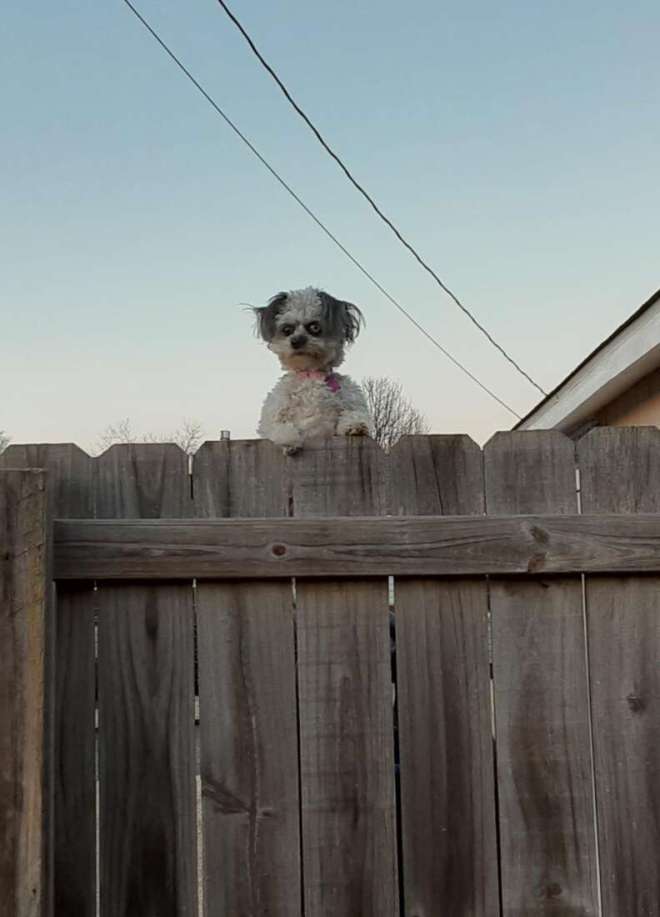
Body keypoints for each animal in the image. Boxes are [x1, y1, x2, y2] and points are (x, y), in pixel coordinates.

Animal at [255, 284, 374, 452]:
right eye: (287, 330)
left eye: (315, 327)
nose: (296, 341)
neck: (310, 374)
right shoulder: (273, 413)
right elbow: (278, 425)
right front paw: (288, 439)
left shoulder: (351, 400)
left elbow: (355, 413)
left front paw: (355, 425)